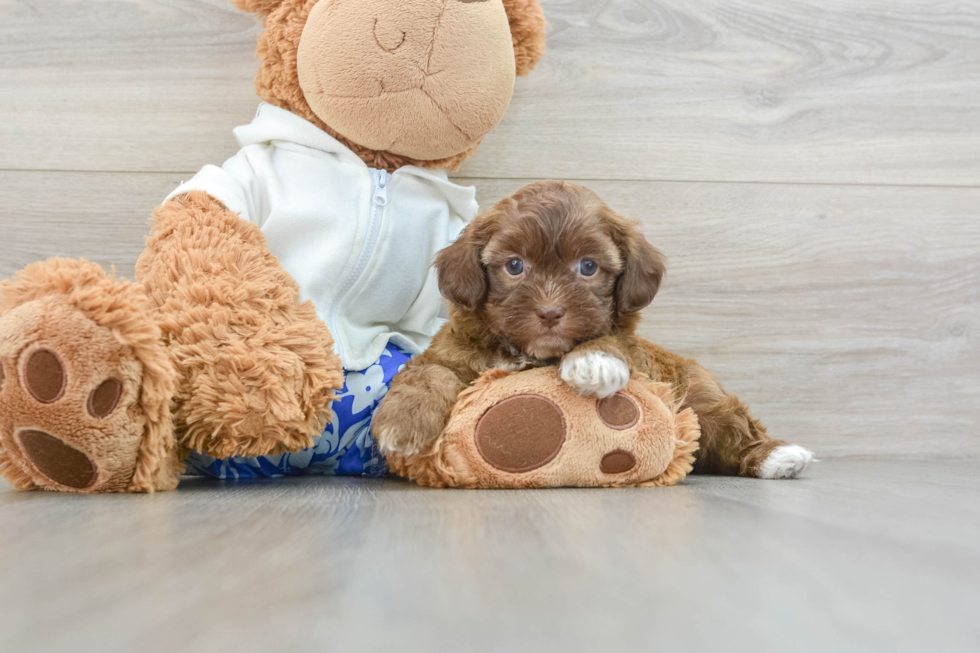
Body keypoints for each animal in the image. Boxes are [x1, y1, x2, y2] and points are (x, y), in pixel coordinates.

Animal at [372, 181, 816, 476]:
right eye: (514, 265)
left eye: (588, 266)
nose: (550, 312)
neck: (532, 353)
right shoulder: (452, 350)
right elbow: (428, 372)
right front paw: (404, 422)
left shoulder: (633, 349)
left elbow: (613, 338)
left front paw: (593, 363)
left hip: (700, 395)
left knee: (731, 423)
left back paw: (777, 457)